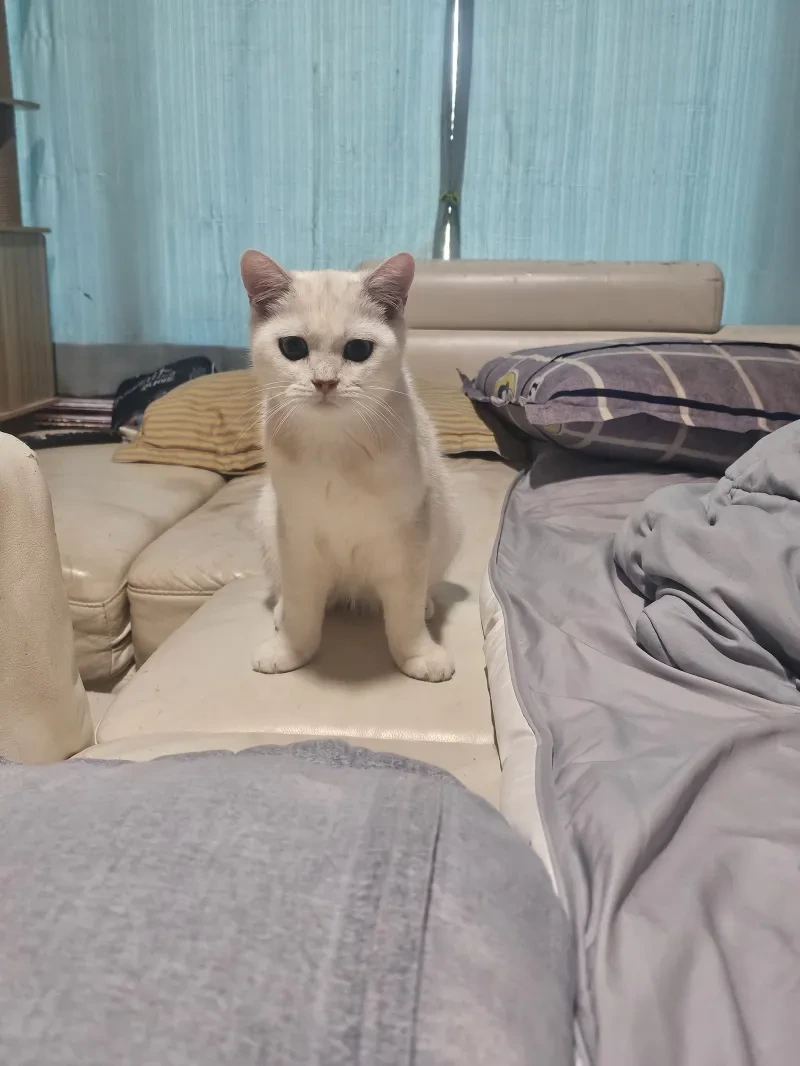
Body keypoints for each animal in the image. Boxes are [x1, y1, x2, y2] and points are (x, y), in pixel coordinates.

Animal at [240, 250, 461, 682]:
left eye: (358, 350)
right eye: (293, 347)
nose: (324, 382)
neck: (334, 444)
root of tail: (353, 596)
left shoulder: (409, 531)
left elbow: (405, 611)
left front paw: (417, 653)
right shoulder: (297, 532)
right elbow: (302, 608)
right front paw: (291, 650)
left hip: (448, 525)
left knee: (420, 593)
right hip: (266, 518)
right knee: (288, 593)